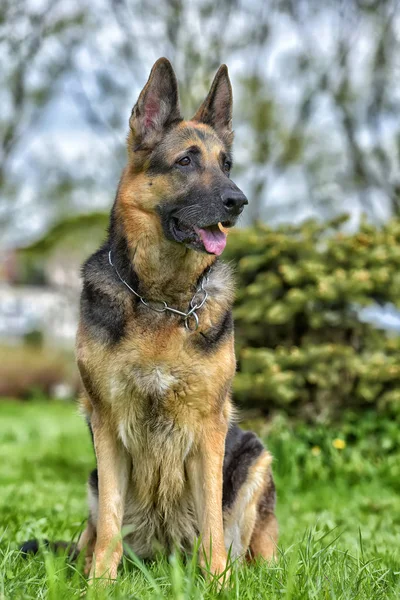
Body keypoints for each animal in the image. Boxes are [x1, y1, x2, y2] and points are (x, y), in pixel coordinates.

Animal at [22, 57, 278, 580]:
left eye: (226, 164)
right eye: (185, 161)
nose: (238, 201)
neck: (163, 300)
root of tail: (164, 552)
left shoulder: (208, 430)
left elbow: (212, 524)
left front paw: (217, 581)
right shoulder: (107, 425)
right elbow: (111, 524)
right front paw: (100, 583)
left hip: (254, 458)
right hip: (95, 481)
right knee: (97, 530)